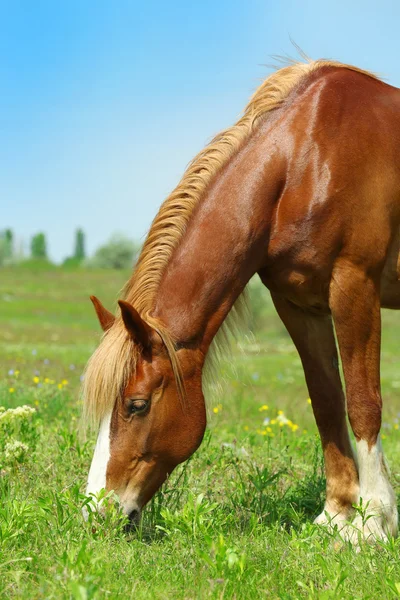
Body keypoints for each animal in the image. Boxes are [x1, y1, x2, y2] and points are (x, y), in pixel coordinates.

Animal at [82, 57, 400, 544]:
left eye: (136, 405)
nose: (93, 513)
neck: (306, 159)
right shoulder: (299, 304)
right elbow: (326, 402)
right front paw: (335, 516)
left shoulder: (354, 285)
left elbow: (363, 404)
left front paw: (373, 523)